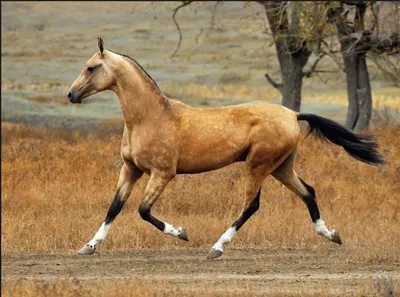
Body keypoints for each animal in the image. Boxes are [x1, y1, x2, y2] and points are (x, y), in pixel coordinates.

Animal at [68, 38, 384, 258]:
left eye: (91, 67)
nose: (71, 94)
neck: (149, 117)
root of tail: (293, 114)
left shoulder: (162, 173)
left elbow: (143, 211)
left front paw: (181, 233)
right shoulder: (131, 170)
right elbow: (115, 206)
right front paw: (89, 246)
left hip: (258, 165)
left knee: (251, 205)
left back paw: (217, 247)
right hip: (281, 167)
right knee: (308, 191)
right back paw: (331, 234)